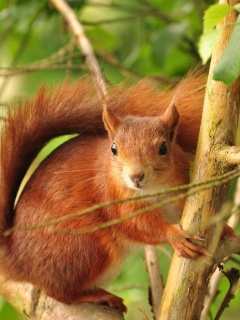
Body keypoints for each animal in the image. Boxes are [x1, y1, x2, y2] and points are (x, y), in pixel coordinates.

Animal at [0, 73, 229, 312]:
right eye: (114, 148)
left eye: (164, 147)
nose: (136, 177)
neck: (153, 189)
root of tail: (17, 259)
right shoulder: (113, 197)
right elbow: (137, 224)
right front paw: (175, 237)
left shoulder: (177, 189)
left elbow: (184, 210)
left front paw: (222, 226)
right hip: (84, 247)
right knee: (59, 293)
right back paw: (96, 296)